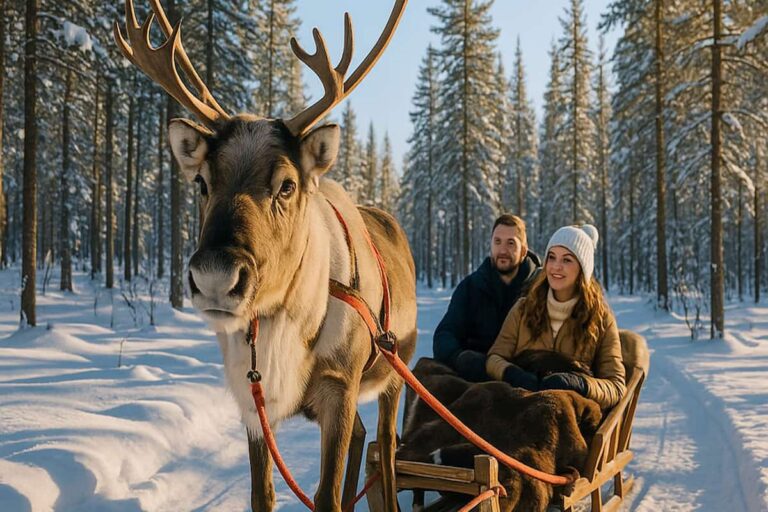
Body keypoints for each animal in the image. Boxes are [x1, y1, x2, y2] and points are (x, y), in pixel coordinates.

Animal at [114, 1, 416, 511]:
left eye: (287, 185)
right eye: (201, 182)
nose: (215, 276)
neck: (283, 323)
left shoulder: (340, 384)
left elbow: (327, 495)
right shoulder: (250, 397)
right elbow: (263, 494)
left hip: (397, 368)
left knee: (388, 449)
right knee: (362, 436)